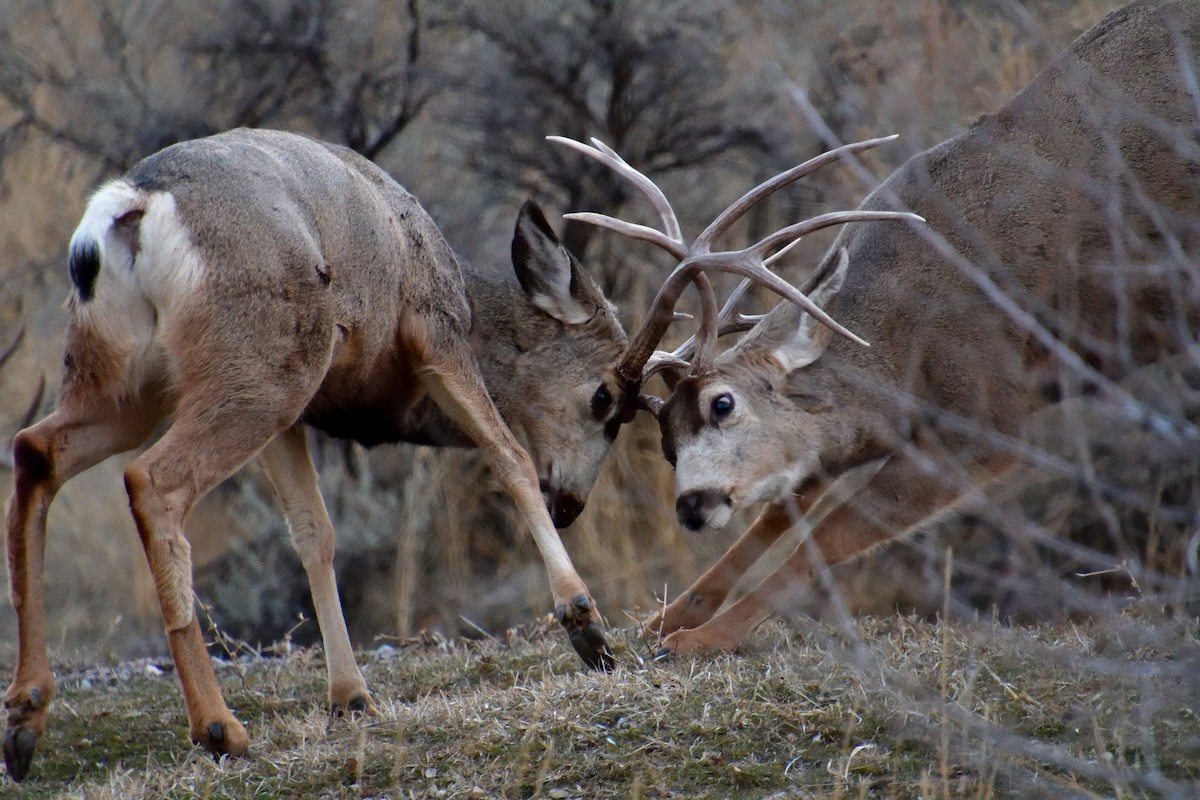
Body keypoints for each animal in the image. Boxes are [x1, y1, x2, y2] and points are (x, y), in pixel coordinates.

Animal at [1, 127, 652, 781]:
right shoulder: (432, 334)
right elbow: (510, 455)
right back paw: (219, 727)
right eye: (606, 398)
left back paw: (25, 719)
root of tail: (132, 205)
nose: (570, 504)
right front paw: (587, 627)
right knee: (152, 481)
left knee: (35, 450)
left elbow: (315, 532)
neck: (467, 299)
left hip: (137, 383)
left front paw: (351, 696)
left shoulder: (296, 419)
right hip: (260, 366)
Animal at [556, 0, 1200, 657]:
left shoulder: (986, 416)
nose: (690, 506)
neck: (900, 339)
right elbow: (778, 517)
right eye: (664, 442)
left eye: (722, 404)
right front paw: (663, 622)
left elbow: (827, 539)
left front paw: (701, 639)